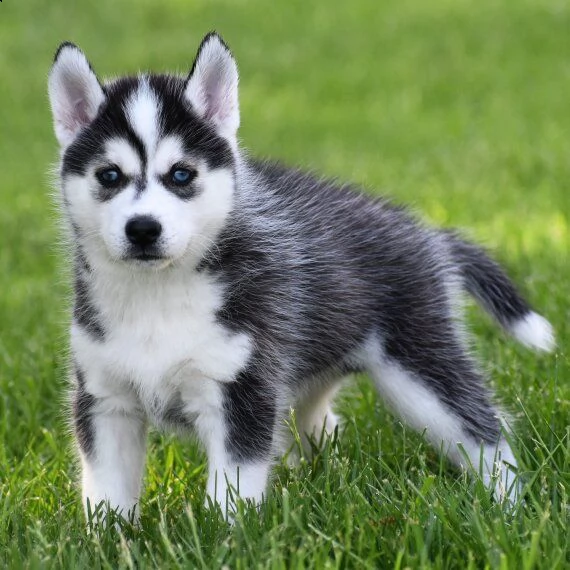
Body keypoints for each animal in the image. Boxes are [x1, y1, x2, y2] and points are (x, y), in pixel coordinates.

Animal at [46, 31, 552, 520]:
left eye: (182, 175)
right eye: (109, 175)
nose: (143, 229)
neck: (157, 295)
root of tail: (427, 233)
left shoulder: (242, 394)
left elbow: (232, 491)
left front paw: (228, 535)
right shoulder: (105, 399)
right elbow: (106, 489)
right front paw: (106, 536)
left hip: (421, 368)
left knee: (481, 427)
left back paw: (509, 506)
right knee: (320, 426)